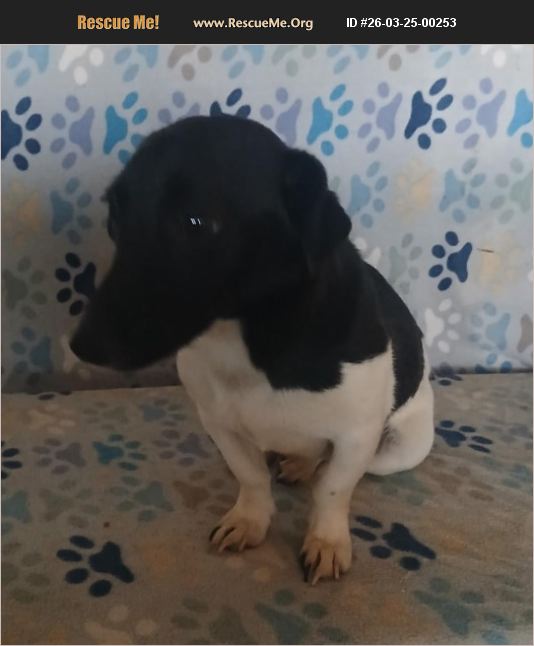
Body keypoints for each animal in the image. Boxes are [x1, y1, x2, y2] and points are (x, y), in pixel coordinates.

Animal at [70, 114, 434, 584]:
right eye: (115, 217)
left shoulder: (357, 437)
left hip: (400, 449)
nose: (82, 345)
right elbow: (252, 477)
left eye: (196, 222)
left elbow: (332, 490)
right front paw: (250, 520)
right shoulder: (221, 426)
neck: (245, 341)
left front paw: (327, 541)